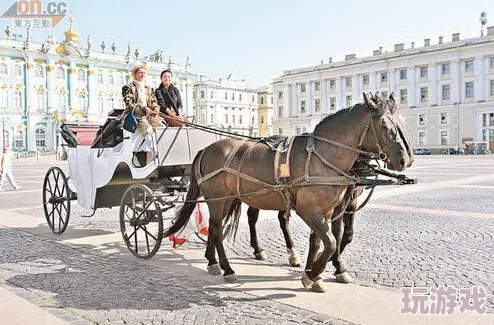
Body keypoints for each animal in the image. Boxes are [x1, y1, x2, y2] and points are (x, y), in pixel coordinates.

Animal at [164, 92, 412, 292]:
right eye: (383, 124)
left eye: (402, 122)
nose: (405, 159)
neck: (322, 156)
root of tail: (206, 148)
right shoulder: (309, 210)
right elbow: (332, 242)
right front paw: (315, 273)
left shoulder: (328, 210)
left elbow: (322, 241)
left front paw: (315, 273)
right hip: (217, 199)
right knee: (216, 229)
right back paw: (228, 269)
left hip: (228, 199)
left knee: (218, 227)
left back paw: (213, 262)